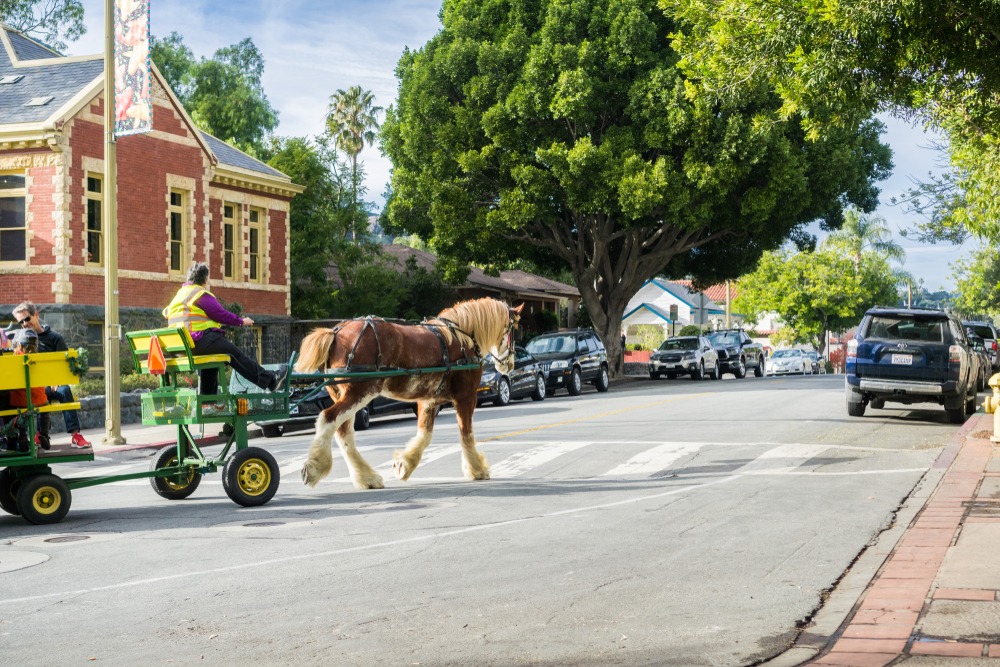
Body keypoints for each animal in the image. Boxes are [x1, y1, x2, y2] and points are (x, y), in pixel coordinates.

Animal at [292, 298, 524, 490]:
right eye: (515, 329)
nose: (510, 364)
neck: (462, 337)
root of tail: (336, 333)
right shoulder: (466, 396)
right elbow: (466, 434)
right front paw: (476, 470)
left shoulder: (428, 400)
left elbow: (425, 435)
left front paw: (404, 464)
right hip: (360, 391)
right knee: (328, 419)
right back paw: (315, 467)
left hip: (344, 394)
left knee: (343, 433)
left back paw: (366, 478)